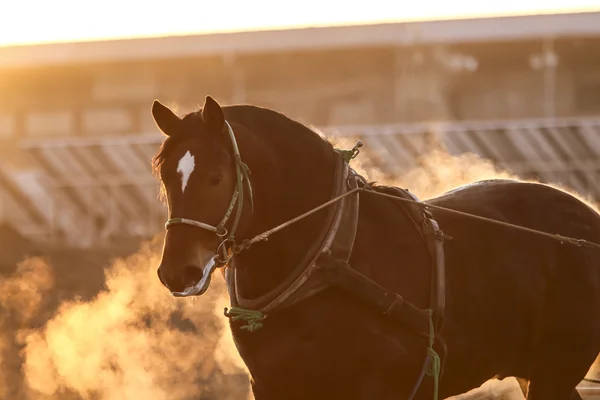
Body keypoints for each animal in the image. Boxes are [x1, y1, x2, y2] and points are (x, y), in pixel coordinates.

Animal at [149, 95, 600, 398]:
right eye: (166, 176)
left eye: (217, 176)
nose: (178, 272)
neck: (326, 258)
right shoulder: (274, 385)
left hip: (557, 367)